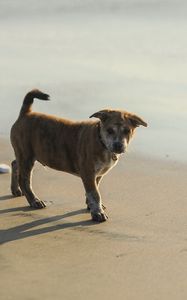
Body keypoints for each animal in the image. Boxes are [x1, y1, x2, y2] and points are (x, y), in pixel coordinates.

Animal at [10, 88, 148, 220]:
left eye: (127, 131)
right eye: (109, 130)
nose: (118, 145)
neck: (101, 141)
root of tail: (25, 114)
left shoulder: (96, 175)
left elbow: (93, 190)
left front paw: (91, 206)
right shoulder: (88, 172)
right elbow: (95, 194)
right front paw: (98, 213)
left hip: (23, 154)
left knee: (15, 164)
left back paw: (16, 190)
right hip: (26, 155)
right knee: (24, 180)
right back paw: (34, 200)